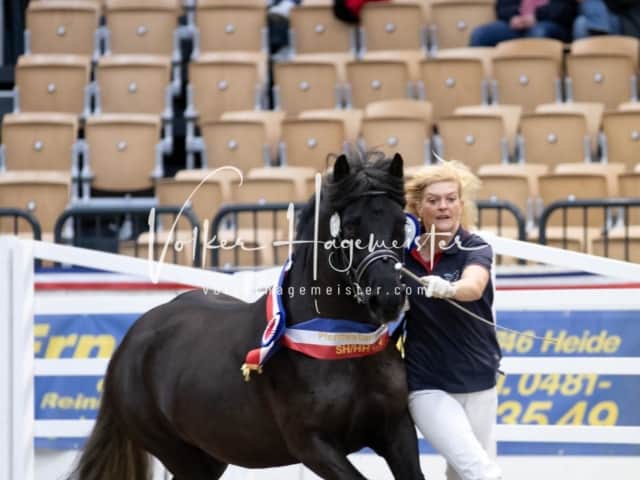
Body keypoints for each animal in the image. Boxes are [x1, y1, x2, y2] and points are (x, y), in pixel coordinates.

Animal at [70, 151, 424, 480]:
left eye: (401, 224)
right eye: (350, 225)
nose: (388, 297)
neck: (340, 341)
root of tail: (130, 341)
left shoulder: (396, 430)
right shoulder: (313, 445)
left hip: (210, 454)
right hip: (180, 456)